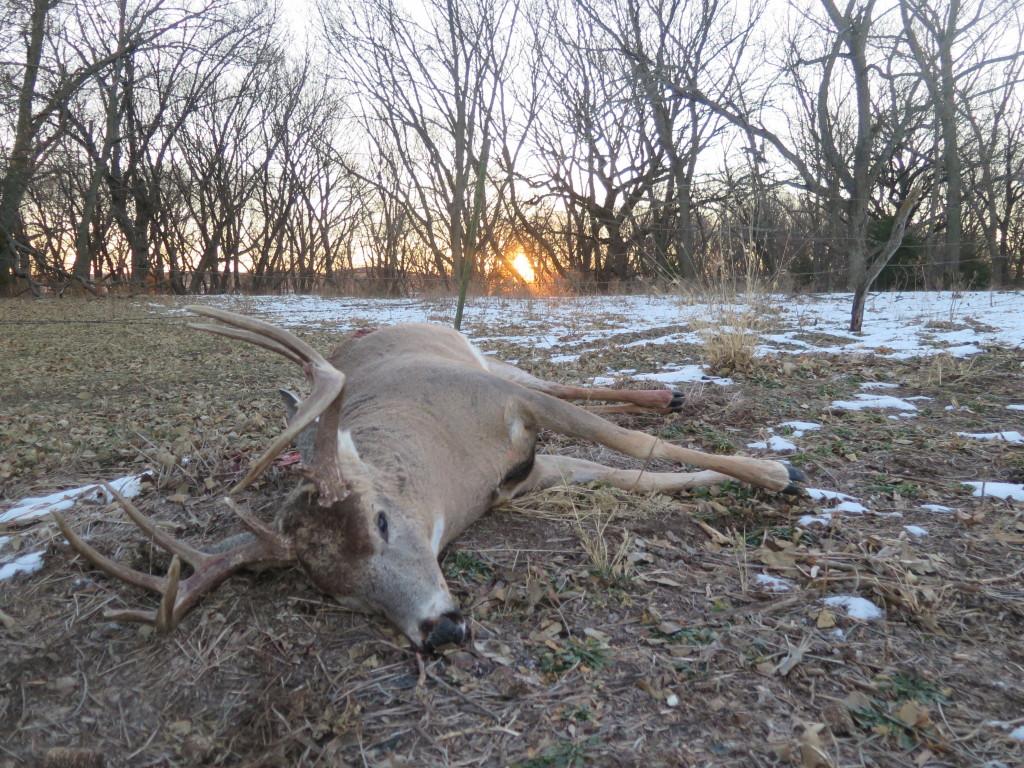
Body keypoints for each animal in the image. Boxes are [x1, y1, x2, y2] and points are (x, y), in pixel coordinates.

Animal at [53, 307, 804, 652]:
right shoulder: (525, 476)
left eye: (382, 521)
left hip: (490, 363)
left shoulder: (506, 404)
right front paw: (728, 483)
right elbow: (629, 476)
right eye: (338, 594)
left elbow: (635, 446)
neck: (455, 469)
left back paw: (671, 396)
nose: (440, 629)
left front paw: (779, 471)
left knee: (556, 379)